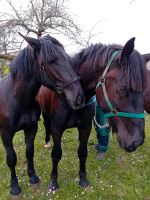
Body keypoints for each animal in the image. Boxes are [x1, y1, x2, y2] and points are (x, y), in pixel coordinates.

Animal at [0, 33, 84, 198]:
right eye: (51, 61)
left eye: (67, 58)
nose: (78, 96)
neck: (18, 99)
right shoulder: (6, 134)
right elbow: (11, 159)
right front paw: (15, 187)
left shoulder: (31, 128)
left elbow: (29, 152)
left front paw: (33, 177)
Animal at [36, 38, 146, 192]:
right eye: (123, 87)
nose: (137, 141)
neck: (72, 97)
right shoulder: (57, 128)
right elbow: (56, 155)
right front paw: (53, 182)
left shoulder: (85, 128)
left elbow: (82, 153)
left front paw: (83, 179)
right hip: (45, 115)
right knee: (46, 127)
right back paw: (47, 142)